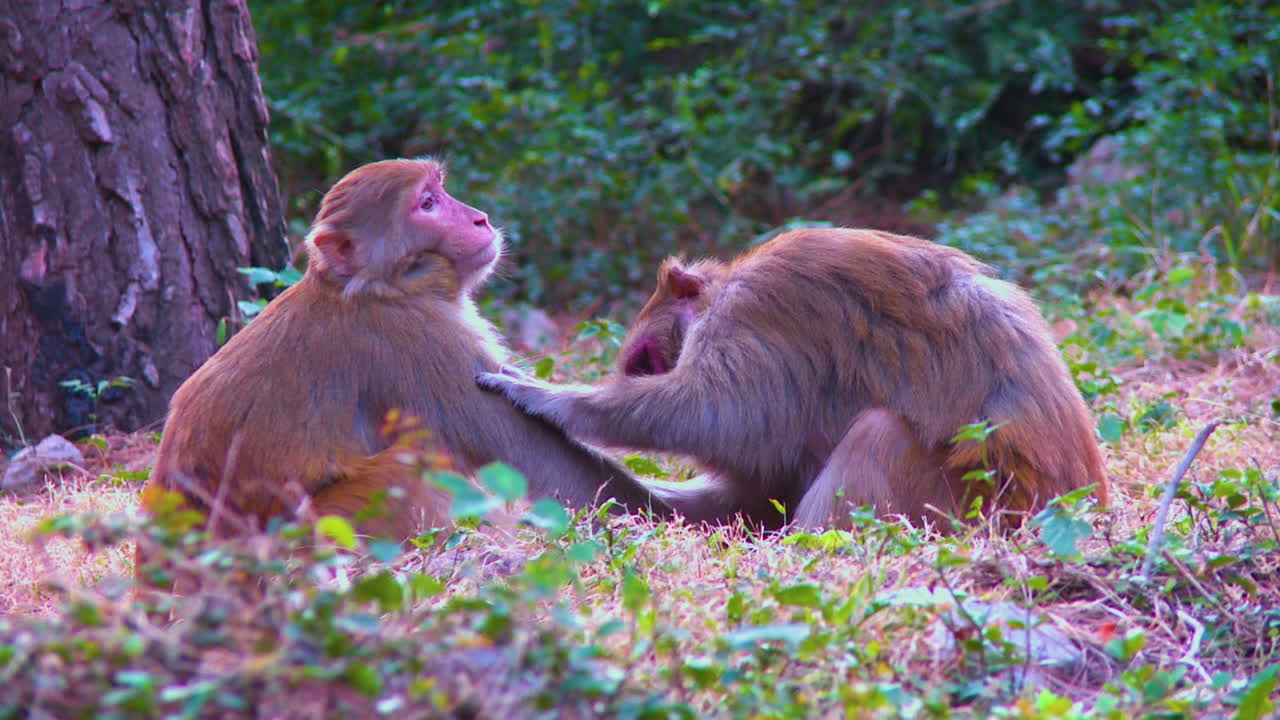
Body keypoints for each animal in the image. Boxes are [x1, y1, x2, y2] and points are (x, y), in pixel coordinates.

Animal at [142, 158, 670, 548]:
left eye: (440, 192)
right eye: (427, 204)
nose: (479, 217)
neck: (380, 288)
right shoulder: (423, 341)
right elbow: (530, 454)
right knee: (412, 461)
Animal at [479, 227, 1109, 530]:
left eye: (644, 364)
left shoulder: (758, 307)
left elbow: (717, 415)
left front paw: (549, 398)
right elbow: (762, 475)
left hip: (972, 508)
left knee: (879, 432)